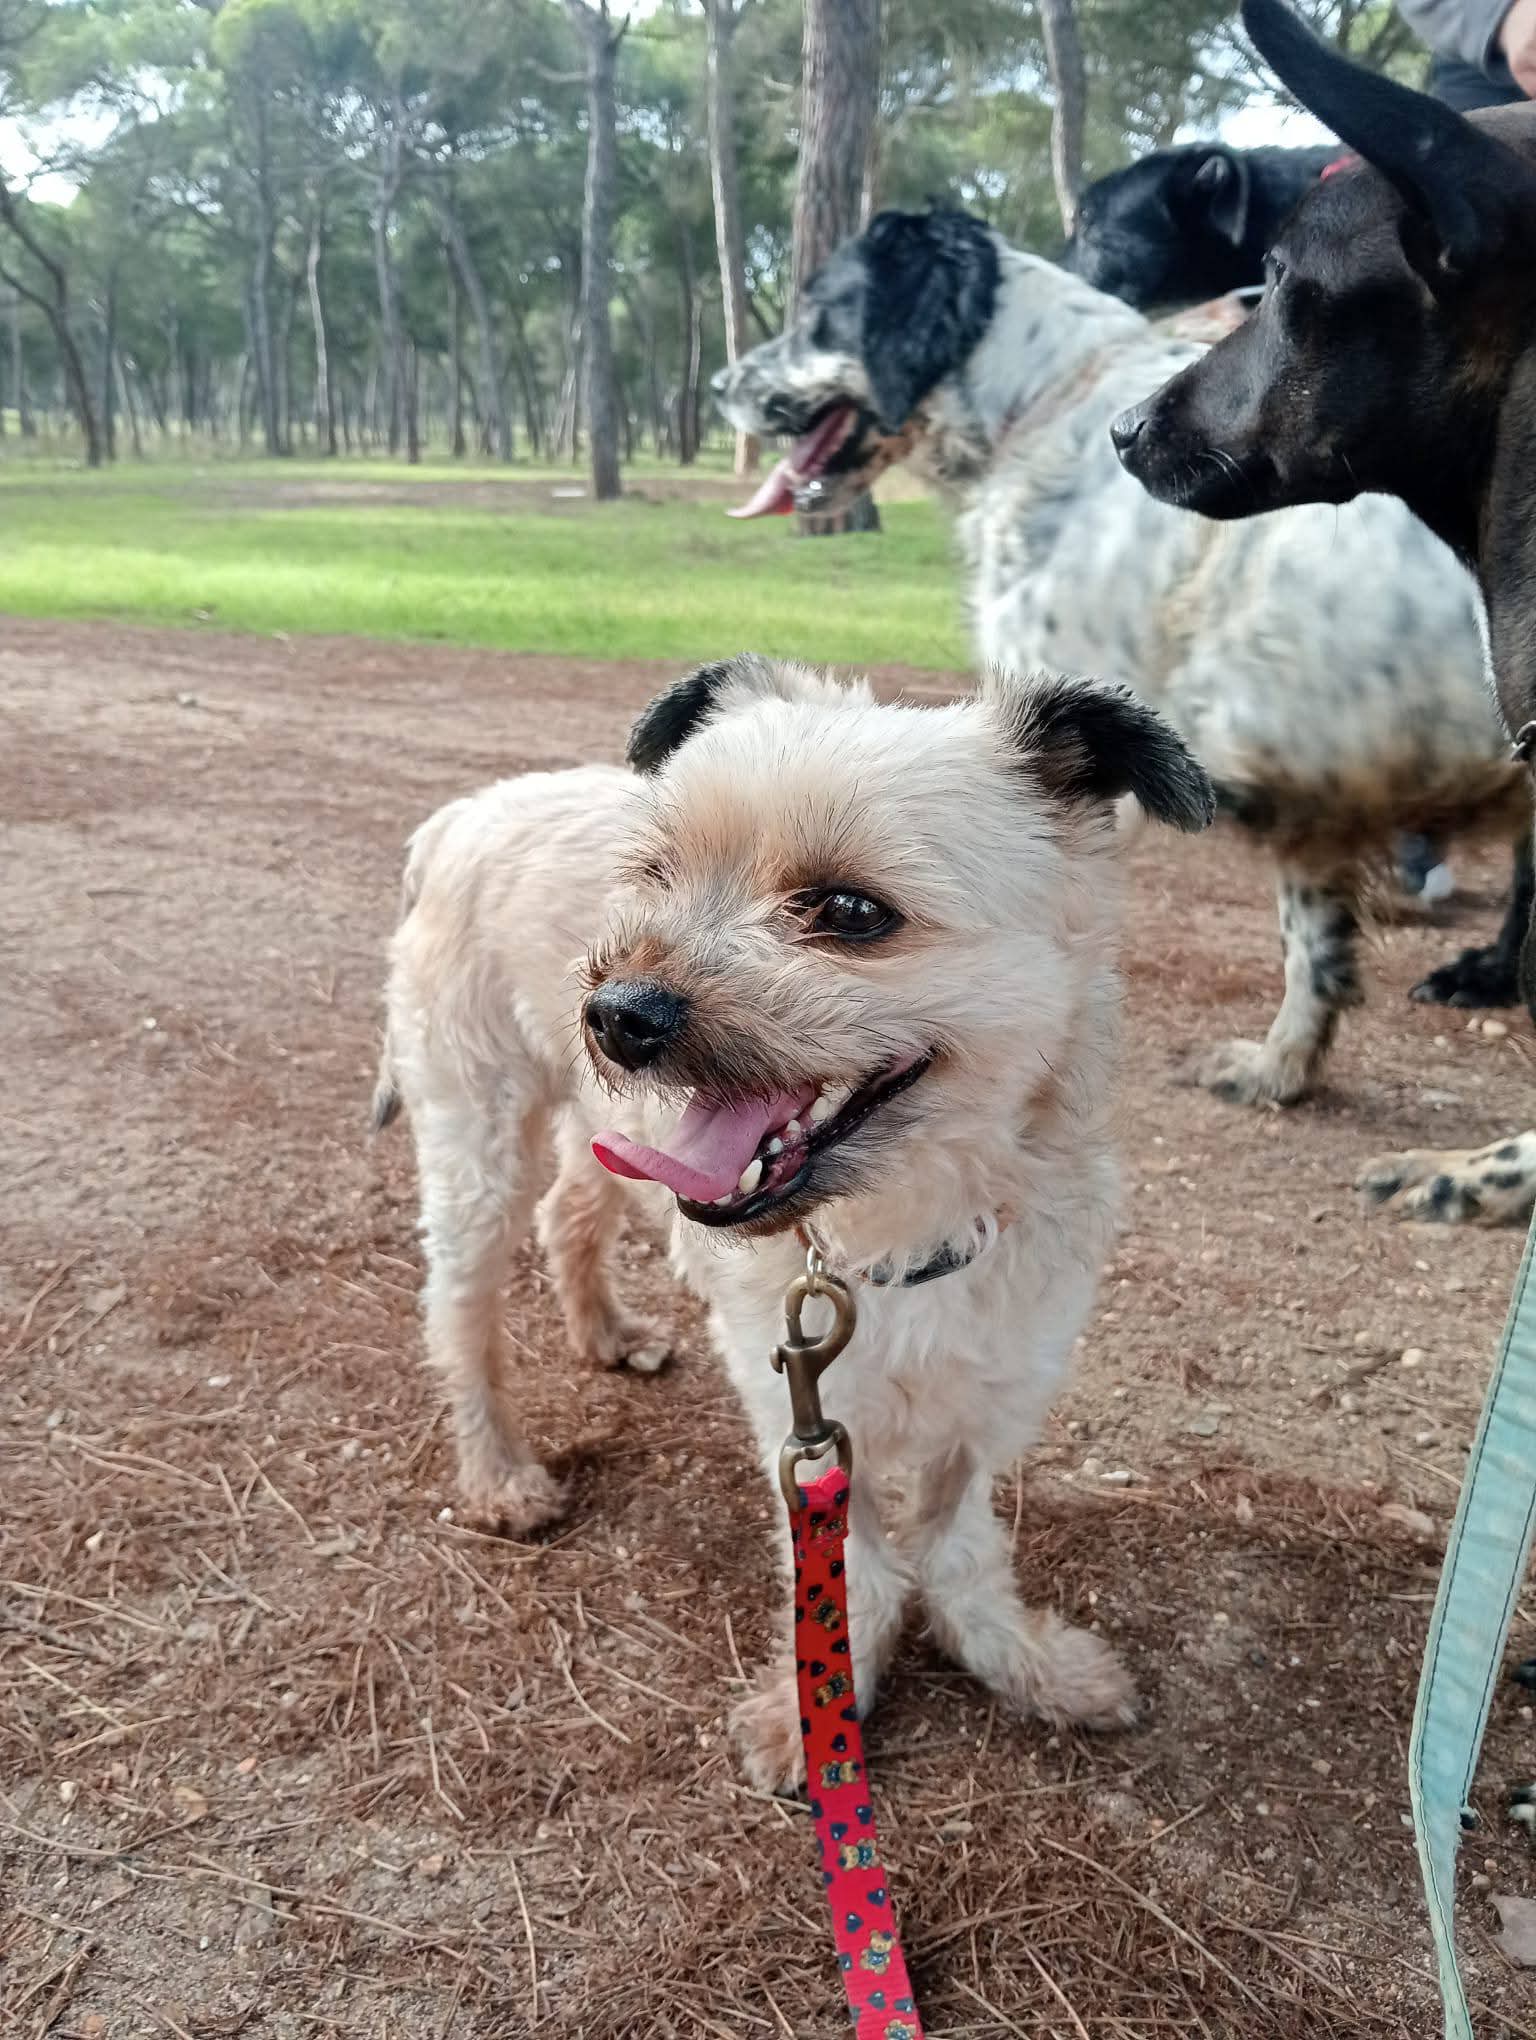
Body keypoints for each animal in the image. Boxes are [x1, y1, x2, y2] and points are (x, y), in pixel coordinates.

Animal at [376, 652, 1215, 1785]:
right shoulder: (801, 1414)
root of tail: (465, 811)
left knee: (571, 1210)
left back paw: (607, 1332)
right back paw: (501, 1476)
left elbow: (959, 1546)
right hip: (477, 1135)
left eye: (853, 911)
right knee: (462, 1314)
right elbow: (853, 1566)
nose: (619, 1013)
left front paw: (1019, 1661)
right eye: (659, 872)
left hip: (599, 1125)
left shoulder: (996, 1392)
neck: (902, 1230)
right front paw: (819, 1707)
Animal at [712, 209, 1528, 1110]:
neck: (1044, 404)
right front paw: (1280, 1069)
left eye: (820, 310)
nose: (719, 384)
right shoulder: (1313, 790)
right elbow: (1313, 947)